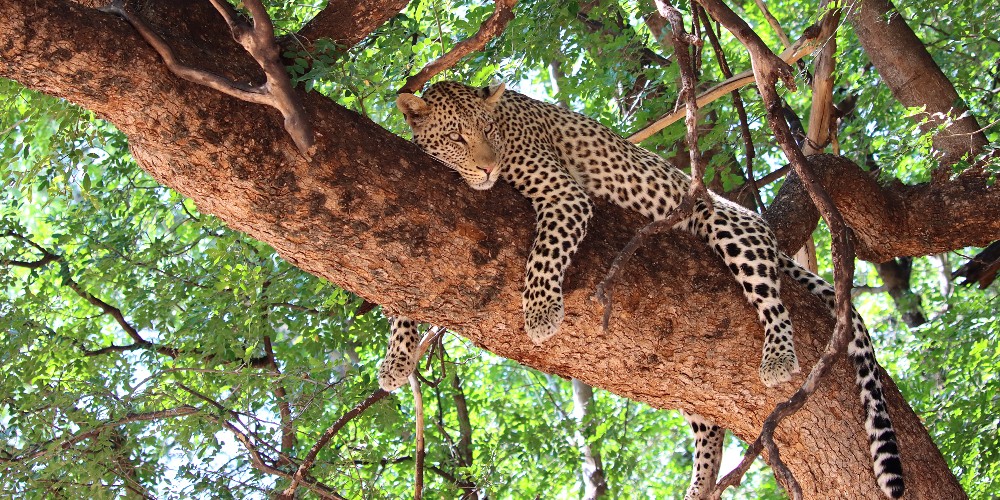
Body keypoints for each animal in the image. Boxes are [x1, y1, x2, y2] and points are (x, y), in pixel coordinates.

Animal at [378, 80, 904, 498]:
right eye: (456, 137)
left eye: (489, 132)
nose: (488, 169)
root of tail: (764, 230)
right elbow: (404, 298)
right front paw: (396, 361)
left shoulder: (566, 196)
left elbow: (544, 256)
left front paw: (541, 313)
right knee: (708, 424)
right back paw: (700, 484)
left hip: (730, 231)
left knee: (774, 303)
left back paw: (778, 357)